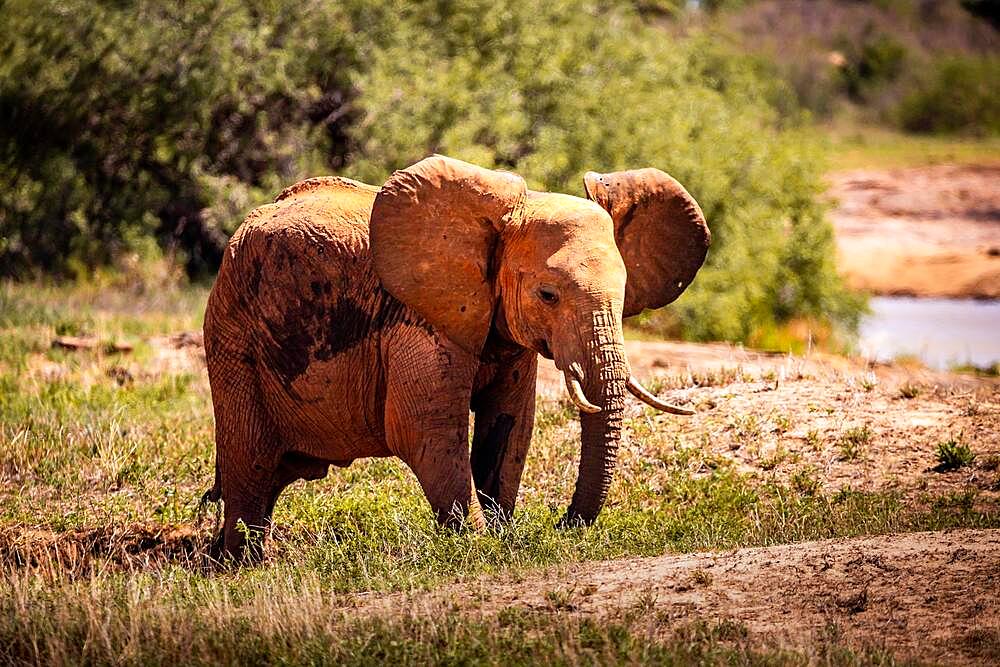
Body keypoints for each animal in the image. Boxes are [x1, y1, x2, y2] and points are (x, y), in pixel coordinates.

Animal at [201, 154, 712, 560]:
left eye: (624, 295)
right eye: (547, 295)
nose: (562, 522)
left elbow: (509, 426)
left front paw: (505, 536)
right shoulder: (418, 319)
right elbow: (424, 429)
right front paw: (481, 546)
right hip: (232, 336)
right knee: (250, 463)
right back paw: (244, 567)